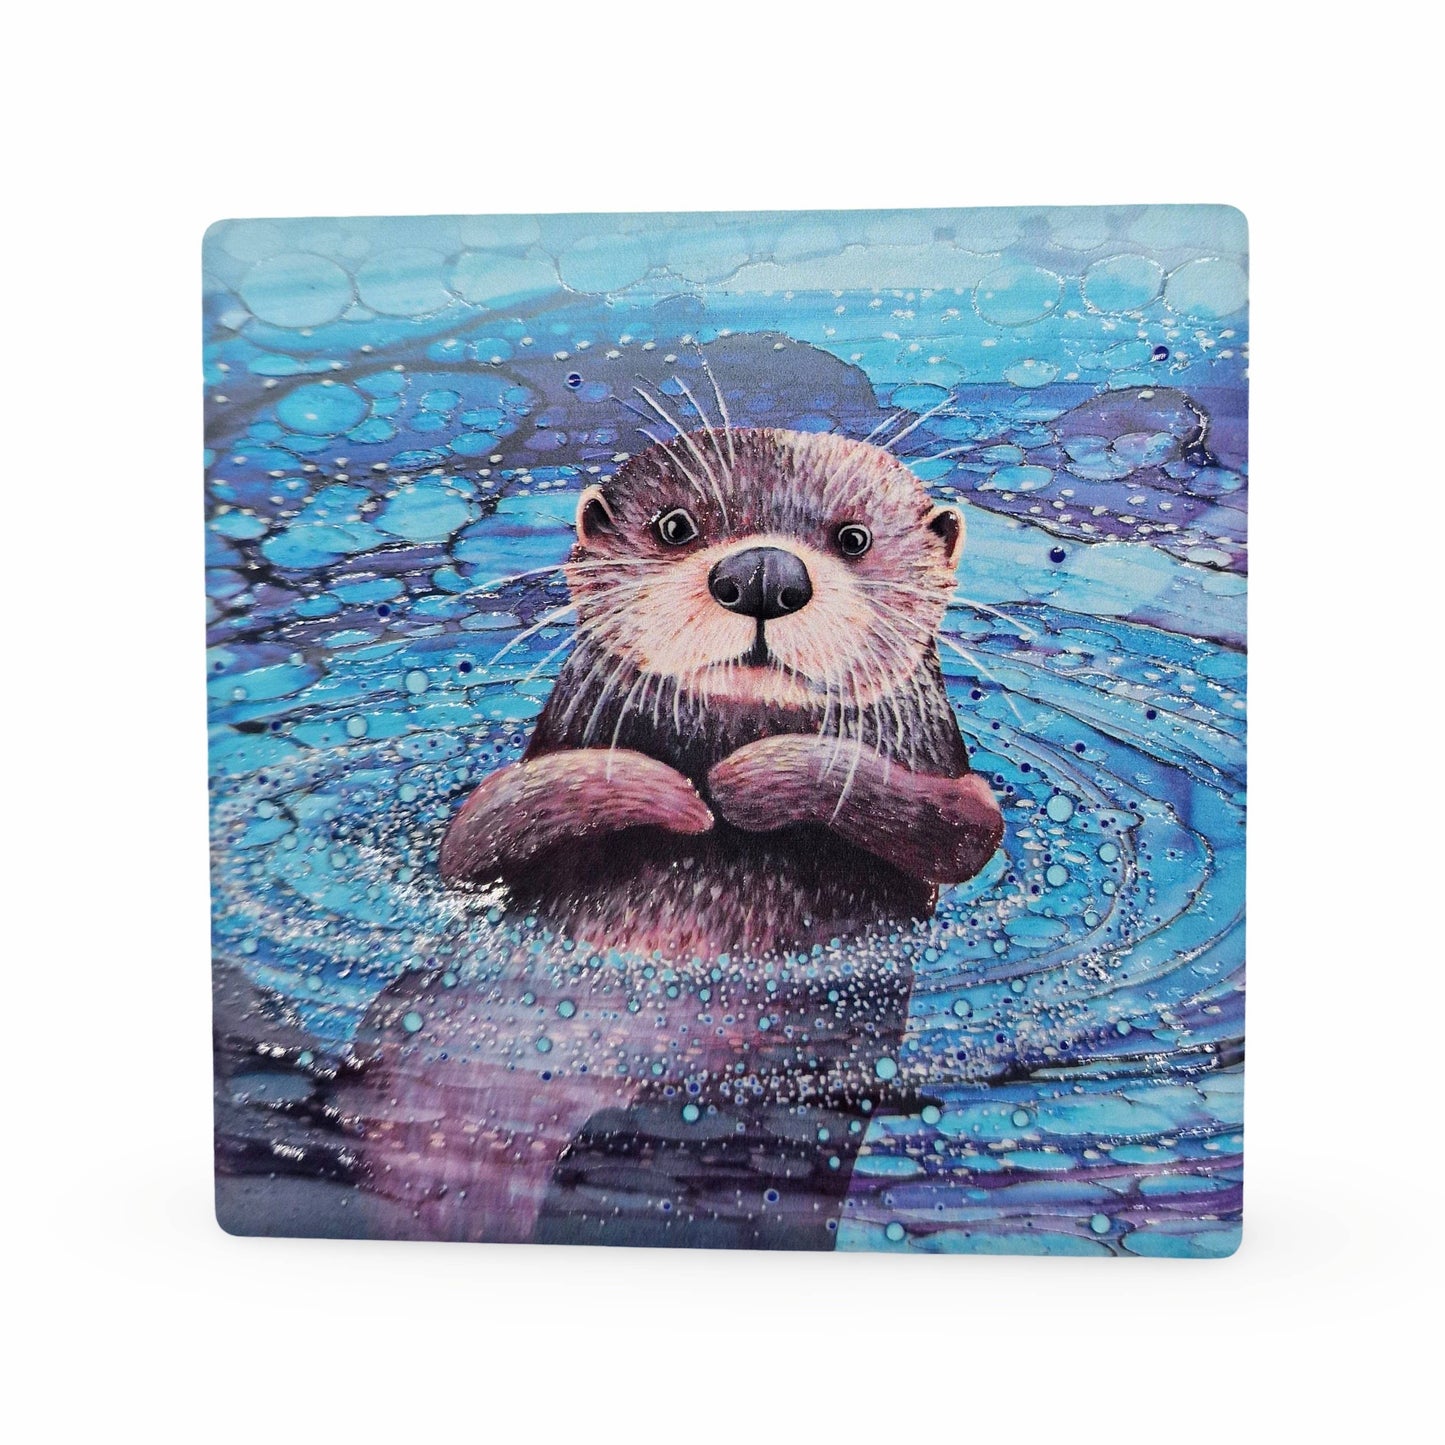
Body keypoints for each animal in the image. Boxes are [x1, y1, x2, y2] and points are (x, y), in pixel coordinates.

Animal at [439, 424, 1003, 957]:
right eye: (675, 526)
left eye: (855, 538)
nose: (763, 572)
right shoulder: (482, 838)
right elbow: (480, 828)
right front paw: (673, 794)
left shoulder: (951, 793)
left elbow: (965, 826)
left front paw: (748, 778)